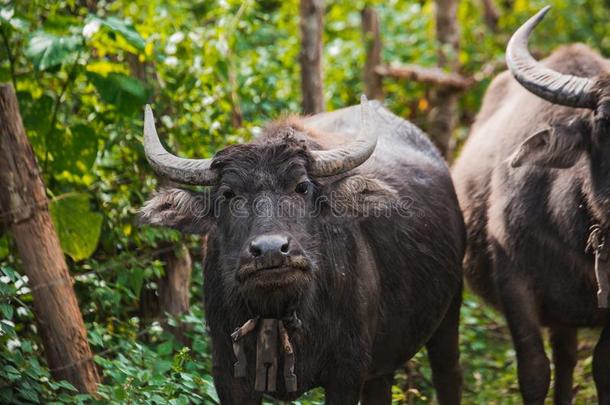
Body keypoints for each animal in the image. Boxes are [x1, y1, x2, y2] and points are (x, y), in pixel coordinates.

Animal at [139, 96, 460, 402]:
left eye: (302, 187)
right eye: (228, 194)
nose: (270, 250)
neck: (280, 308)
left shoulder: (348, 371)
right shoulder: (227, 373)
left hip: (448, 317)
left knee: (449, 375)